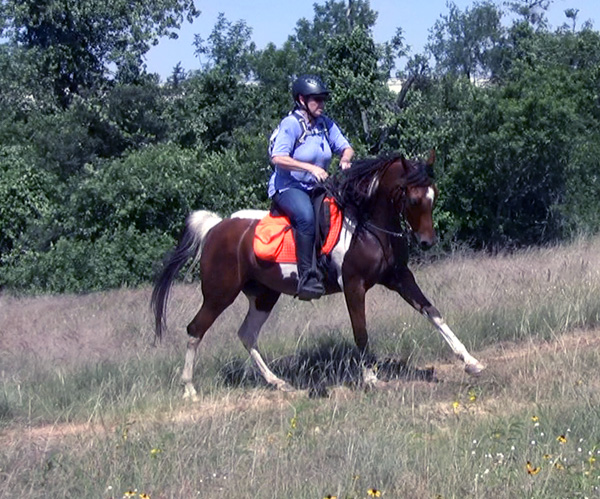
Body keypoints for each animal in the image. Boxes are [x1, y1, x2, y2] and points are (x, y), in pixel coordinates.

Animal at [152, 150, 486, 400]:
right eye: (414, 199)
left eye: (434, 194)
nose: (427, 242)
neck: (367, 226)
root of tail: (216, 227)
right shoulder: (354, 286)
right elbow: (361, 332)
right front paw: (370, 379)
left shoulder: (400, 278)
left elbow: (433, 312)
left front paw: (471, 362)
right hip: (219, 293)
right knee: (195, 329)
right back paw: (189, 389)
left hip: (264, 296)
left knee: (246, 334)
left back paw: (278, 382)